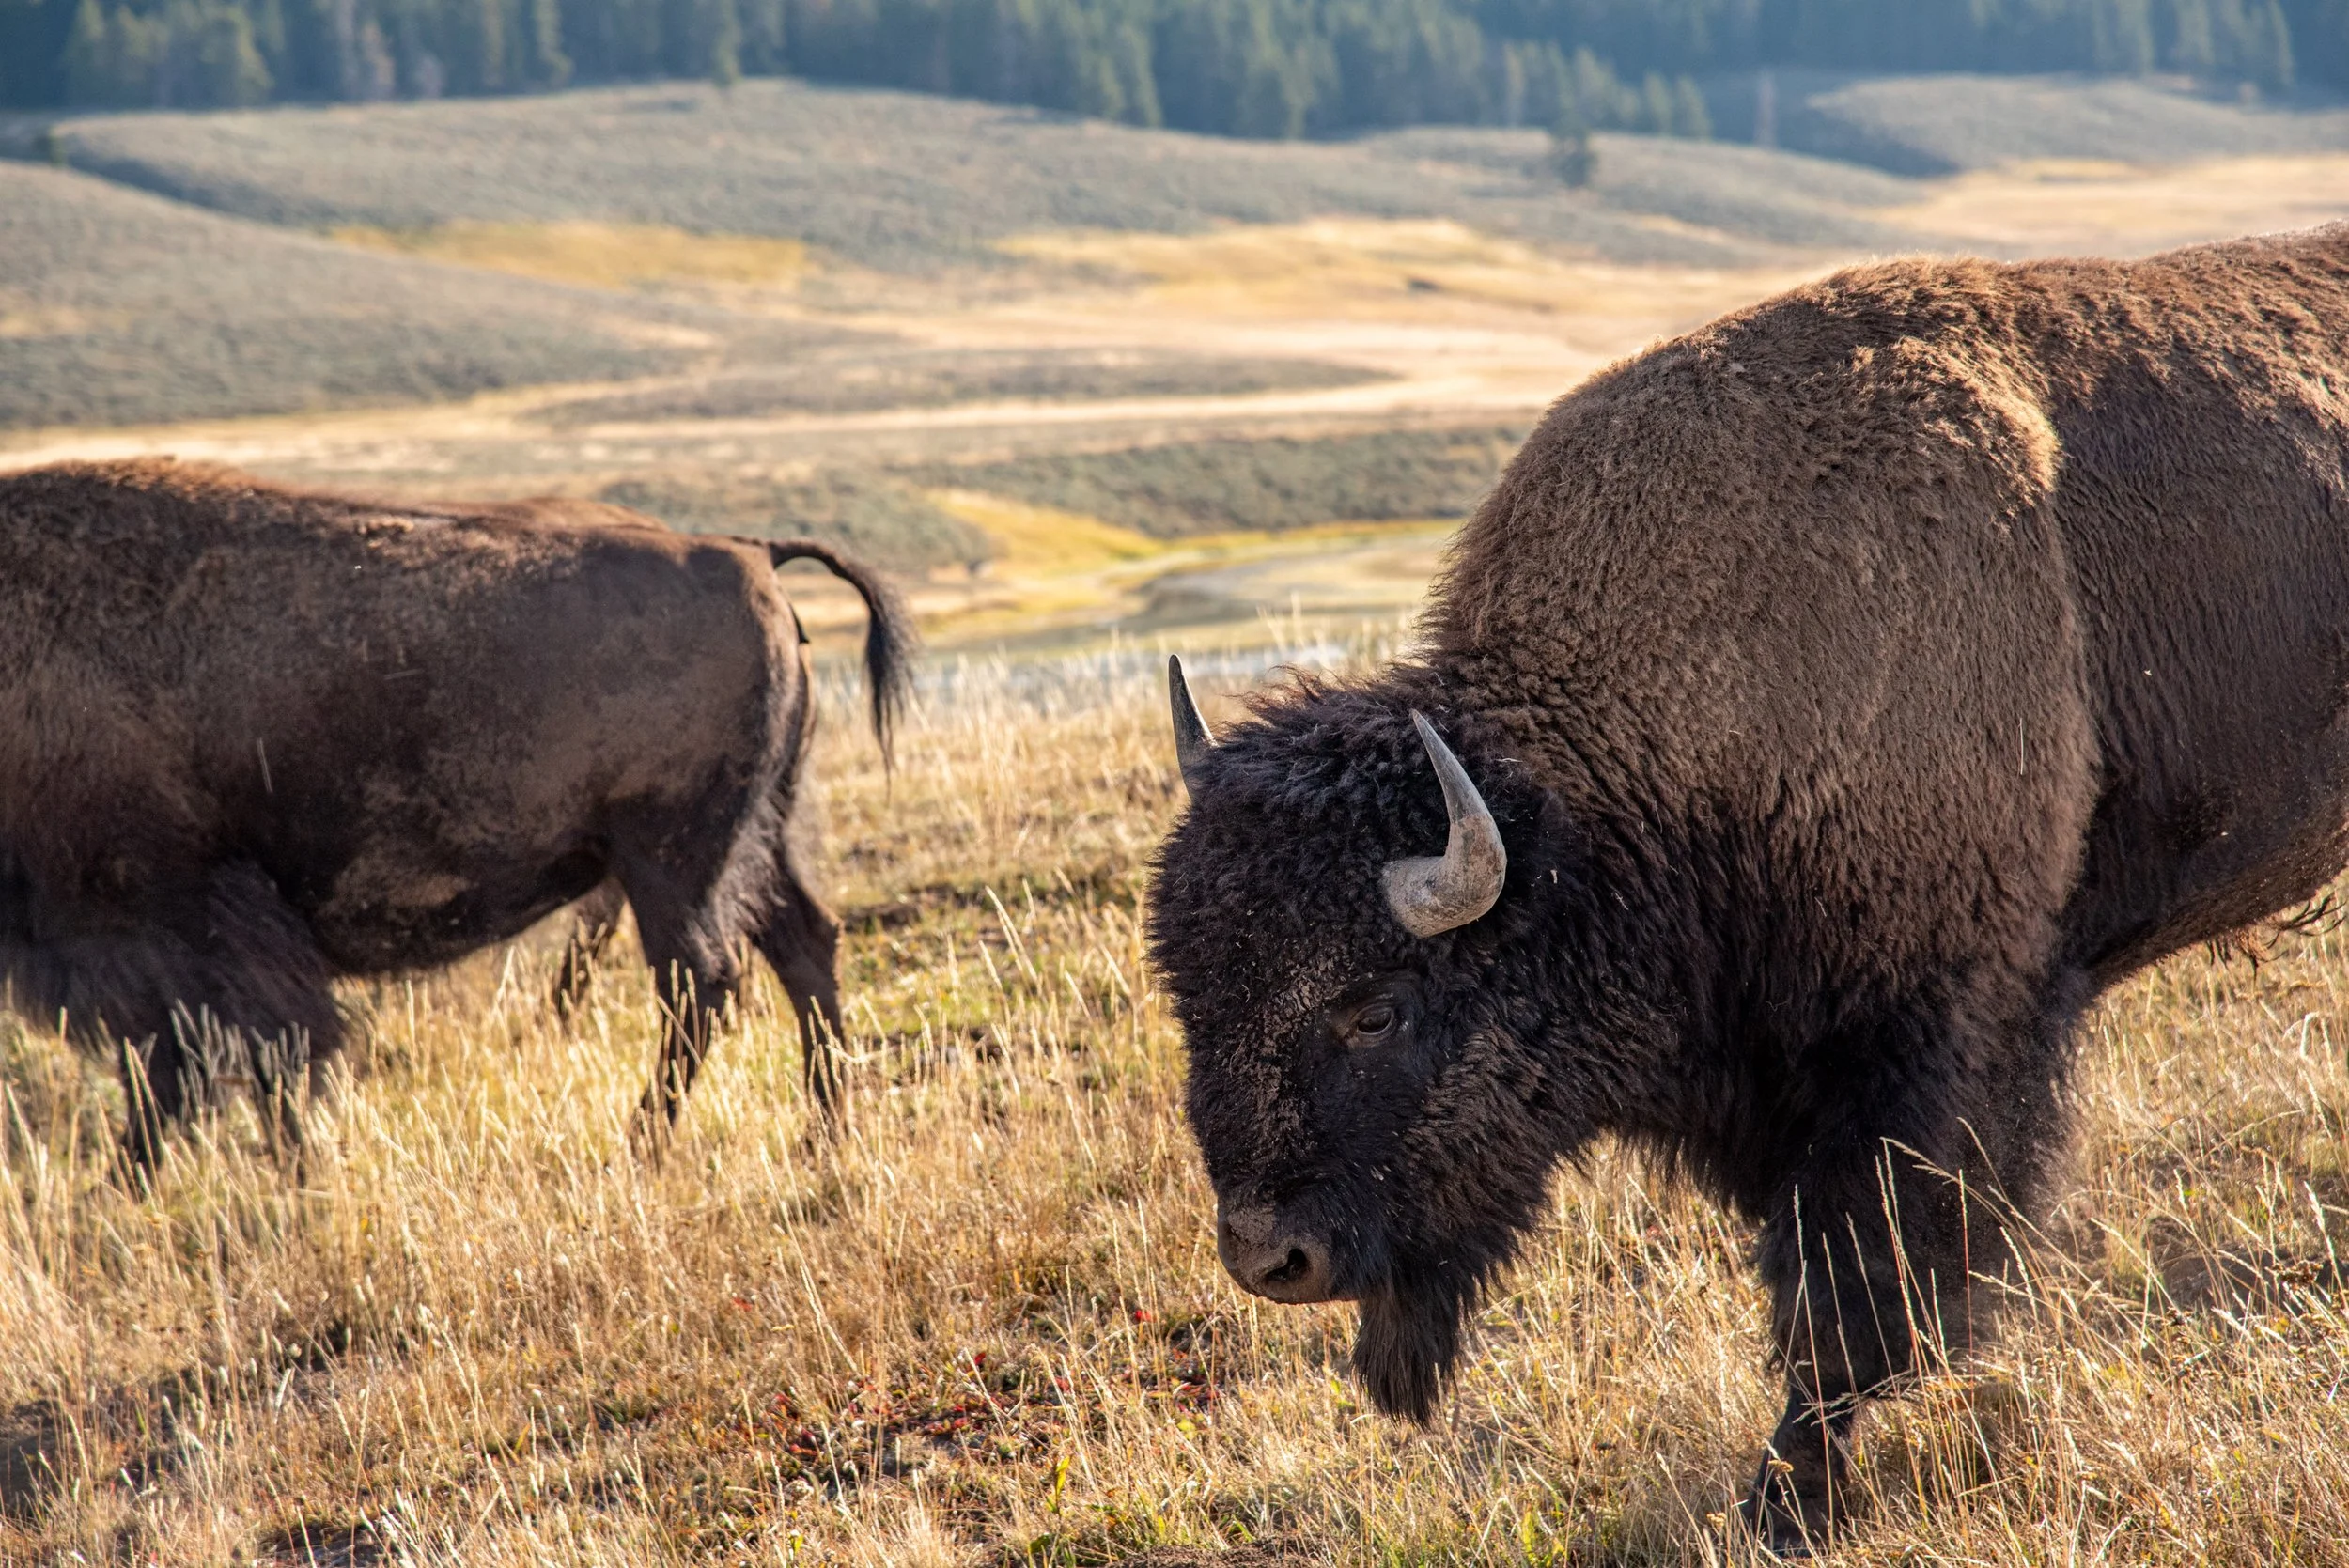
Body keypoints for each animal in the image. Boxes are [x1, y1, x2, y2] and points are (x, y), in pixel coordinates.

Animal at [0, 460, 912, 1164]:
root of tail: (749, 554)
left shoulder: (170, 928)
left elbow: (229, 1064)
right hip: (748, 837)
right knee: (802, 944)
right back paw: (820, 1136)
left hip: (669, 855)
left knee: (704, 981)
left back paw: (643, 1148)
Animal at [1148, 225, 2349, 1547]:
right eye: (1189, 994)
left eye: (1374, 1009)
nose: (1268, 1258)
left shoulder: (1931, 1047)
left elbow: (1858, 1300)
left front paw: (1788, 1505)